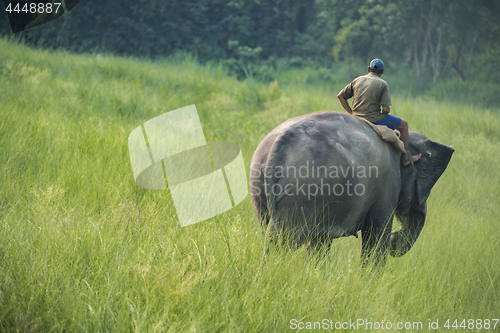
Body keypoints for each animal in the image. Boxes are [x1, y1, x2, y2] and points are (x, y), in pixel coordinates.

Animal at [249, 111, 454, 264]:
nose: (396, 239)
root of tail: (278, 146)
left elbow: (320, 243)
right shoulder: (387, 188)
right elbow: (377, 237)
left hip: (260, 184)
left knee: (269, 232)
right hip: (301, 193)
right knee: (281, 241)